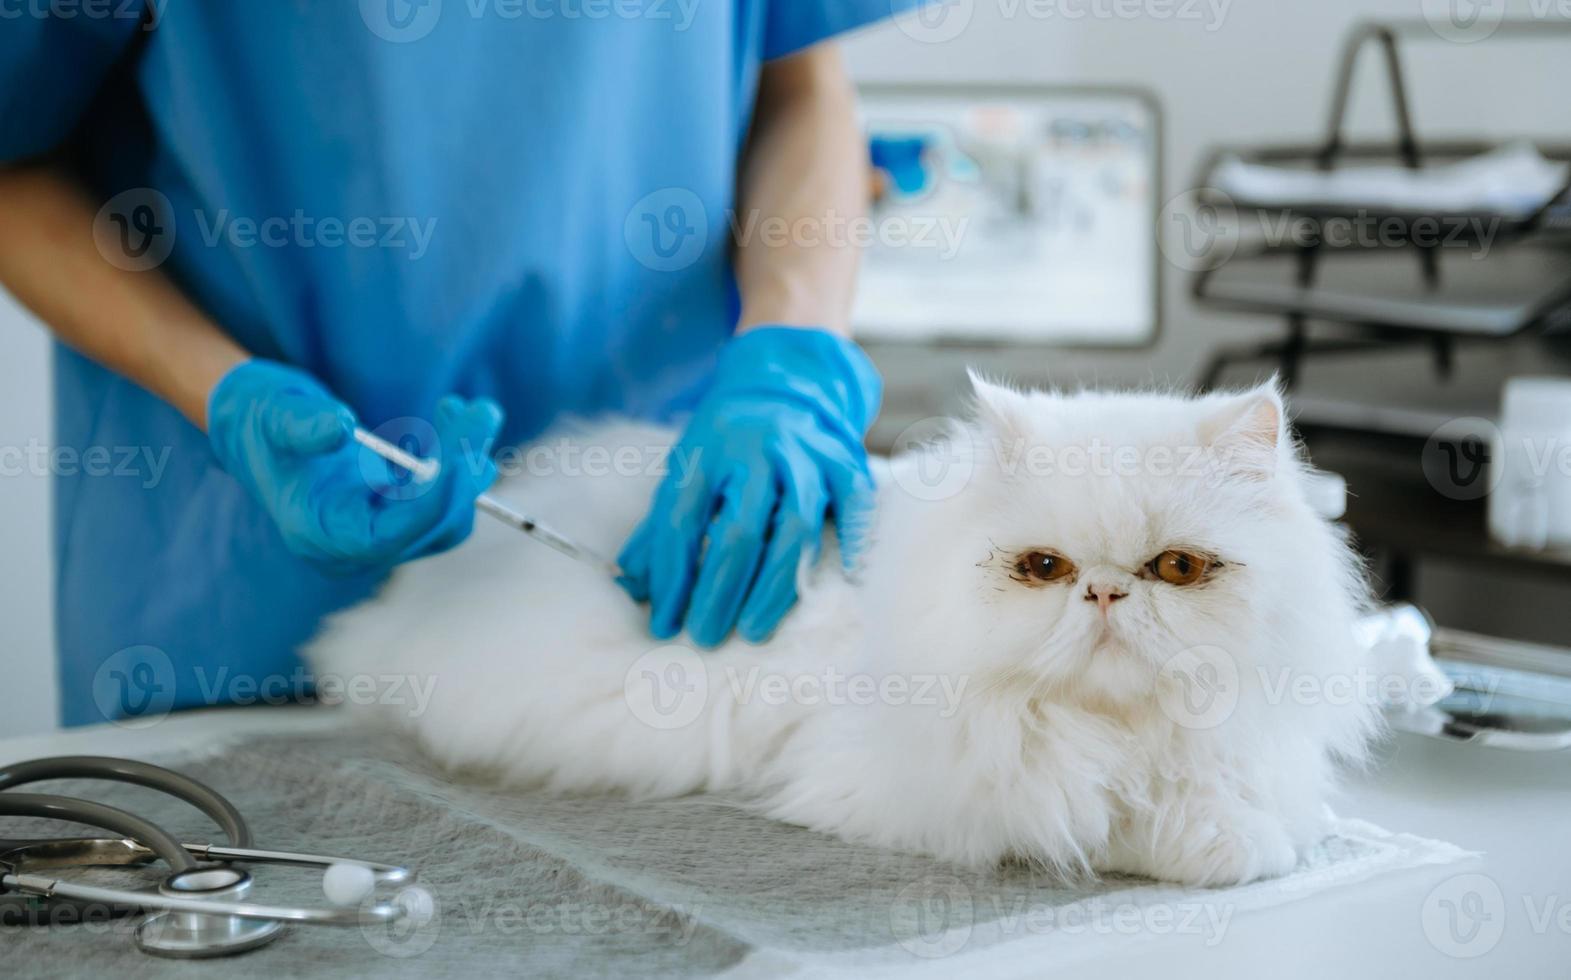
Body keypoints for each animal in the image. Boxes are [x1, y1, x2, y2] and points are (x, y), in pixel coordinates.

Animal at [309, 376, 1376, 885]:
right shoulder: (932, 789)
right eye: (1045, 569)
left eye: (1176, 570)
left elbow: (1239, 799)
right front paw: (1208, 842)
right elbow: (1095, 814)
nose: (1107, 595)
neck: (1112, 729)